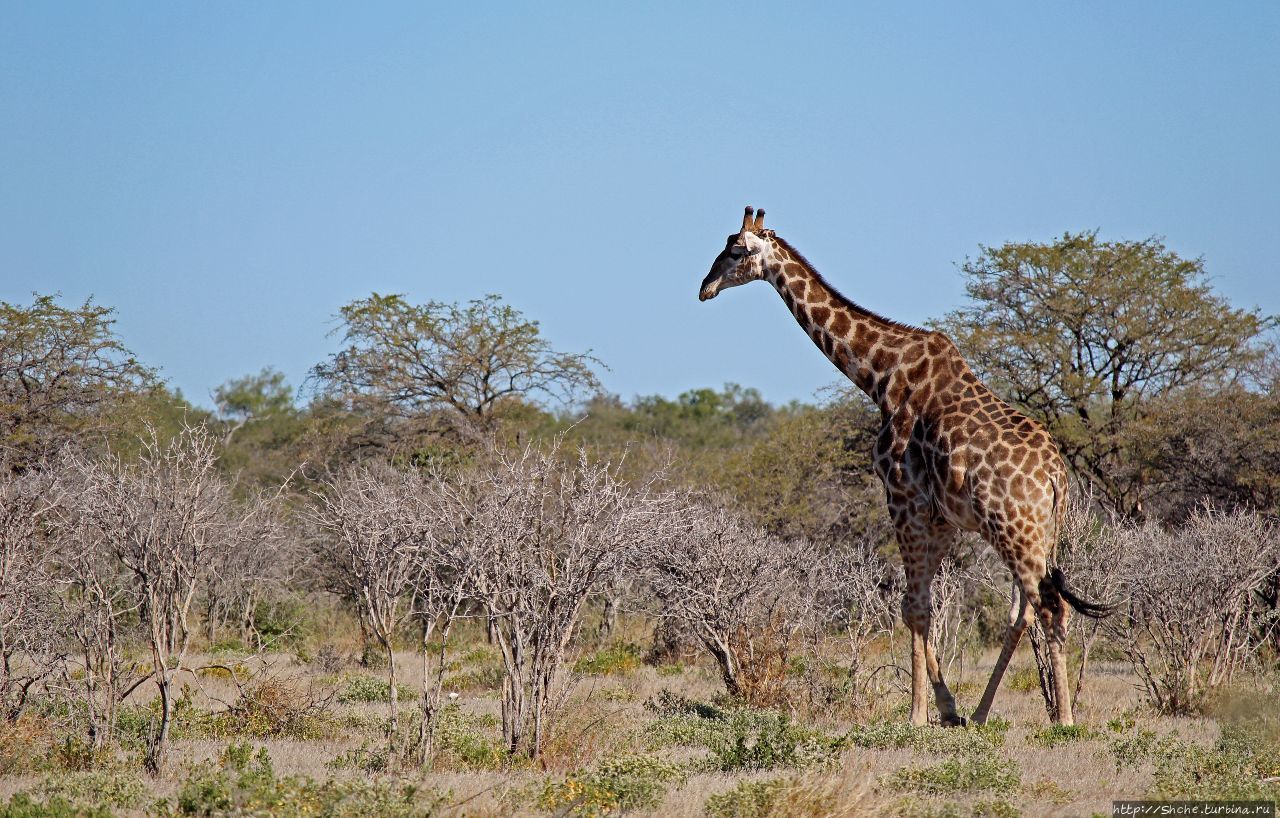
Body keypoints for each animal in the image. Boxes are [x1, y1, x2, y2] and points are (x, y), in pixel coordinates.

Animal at [701, 206, 1111, 727]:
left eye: (736, 251)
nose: (704, 287)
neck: (879, 375)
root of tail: (1057, 477)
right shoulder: (940, 516)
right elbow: (920, 606)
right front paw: (947, 708)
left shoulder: (902, 496)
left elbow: (914, 608)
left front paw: (917, 715)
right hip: (1041, 532)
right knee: (1025, 608)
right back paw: (983, 714)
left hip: (1013, 528)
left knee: (1050, 607)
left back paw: (1063, 719)